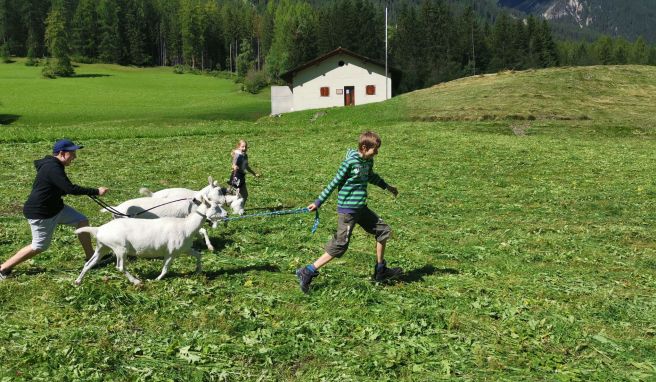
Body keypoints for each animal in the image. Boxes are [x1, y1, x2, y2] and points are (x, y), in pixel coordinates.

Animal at [76, 197, 215, 284]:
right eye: (216, 208)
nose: (214, 222)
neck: (185, 225)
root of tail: (99, 229)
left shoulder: (185, 249)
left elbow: (198, 254)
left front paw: (198, 270)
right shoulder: (171, 252)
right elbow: (165, 268)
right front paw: (157, 279)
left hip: (102, 247)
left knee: (90, 263)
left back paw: (78, 281)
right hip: (120, 248)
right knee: (120, 267)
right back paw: (136, 281)